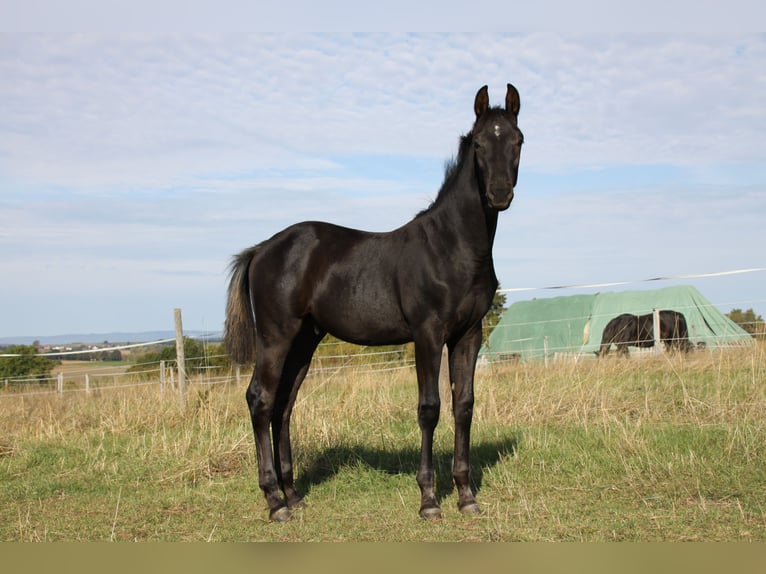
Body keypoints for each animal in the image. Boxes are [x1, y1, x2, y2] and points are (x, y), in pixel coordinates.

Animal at [224, 84, 523, 522]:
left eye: (517, 141)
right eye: (481, 143)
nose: (499, 194)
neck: (451, 246)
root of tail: (262, 248)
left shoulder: (469, 333)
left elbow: (463, 405)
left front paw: (467, 496)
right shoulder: (428, 333)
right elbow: (429, 407)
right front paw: (429, 500)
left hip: (304, 341)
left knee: (283, 404)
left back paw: (292, 493)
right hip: (276, 337)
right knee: (260, 400)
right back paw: (275, 501)